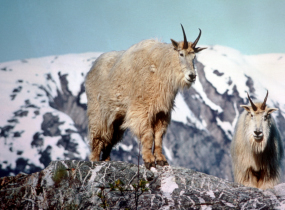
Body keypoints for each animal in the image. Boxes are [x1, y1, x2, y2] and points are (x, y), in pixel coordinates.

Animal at [85, 24, 205, 169]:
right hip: (98, 111)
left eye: (194, 57)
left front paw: (161, 160)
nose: (192, 76)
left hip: (117, 117)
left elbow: (158, 137)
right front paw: (149, 160)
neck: (160, 68)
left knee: (111, 137)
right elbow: (148, 135)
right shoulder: (142, 110)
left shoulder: (161, 112)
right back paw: (95, 159)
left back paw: (107, 160)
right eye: (181, 54)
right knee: (98, 136)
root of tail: (91, 70)